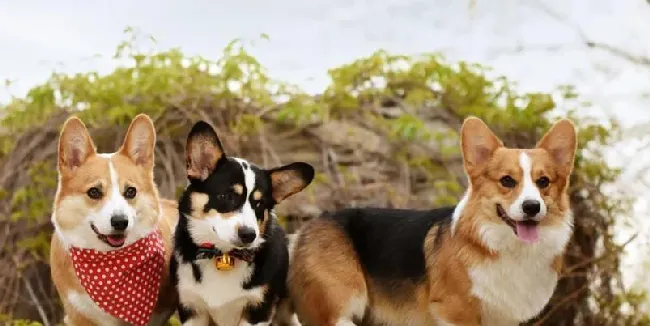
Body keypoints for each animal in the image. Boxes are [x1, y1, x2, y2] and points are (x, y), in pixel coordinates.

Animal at [170, 121, 314, 326]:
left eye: (259, 204)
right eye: (226, 196)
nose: (249, 235)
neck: (223, 255)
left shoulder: (258, 312)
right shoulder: (192, 309)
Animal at [286, 117, 576, 326]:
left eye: (543, 182)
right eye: (507, 181)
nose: (532, 207)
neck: (504, 247)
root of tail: (303, 230)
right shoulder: (455, 313)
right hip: (339, 312)